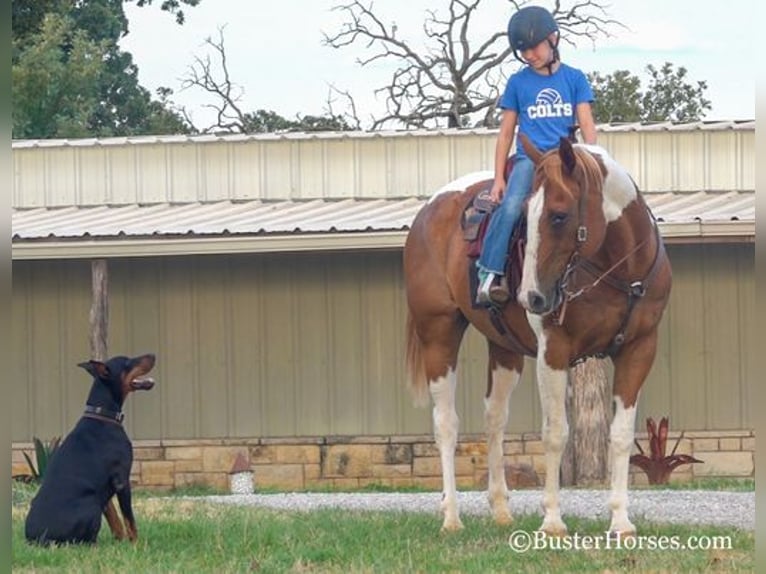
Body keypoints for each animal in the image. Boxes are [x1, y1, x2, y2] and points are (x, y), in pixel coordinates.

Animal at [24, 354, 156, 548]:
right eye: (127, 362)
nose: (154, 355)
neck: (103, 414)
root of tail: (40, 540)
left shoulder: (106, 488)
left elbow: (114, 518)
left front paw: (119, 542)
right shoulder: (121, 479)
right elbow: (129, 519)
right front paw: (136, 545)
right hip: (91, 503)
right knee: (84, 542)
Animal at [404, 134, 676, 536]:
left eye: (559, 215)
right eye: (525, 216)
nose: (531, 297)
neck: (620, 272)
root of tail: (429, 210)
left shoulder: (640, 349)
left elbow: (621, 436)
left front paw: (621, 521)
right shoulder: (554, 352)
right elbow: (555, 434)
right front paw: (552, 521)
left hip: (503, 349)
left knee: (494, 418)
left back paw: (501, 511)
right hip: (438, 333)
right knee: (446, 424)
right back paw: (451, 516)